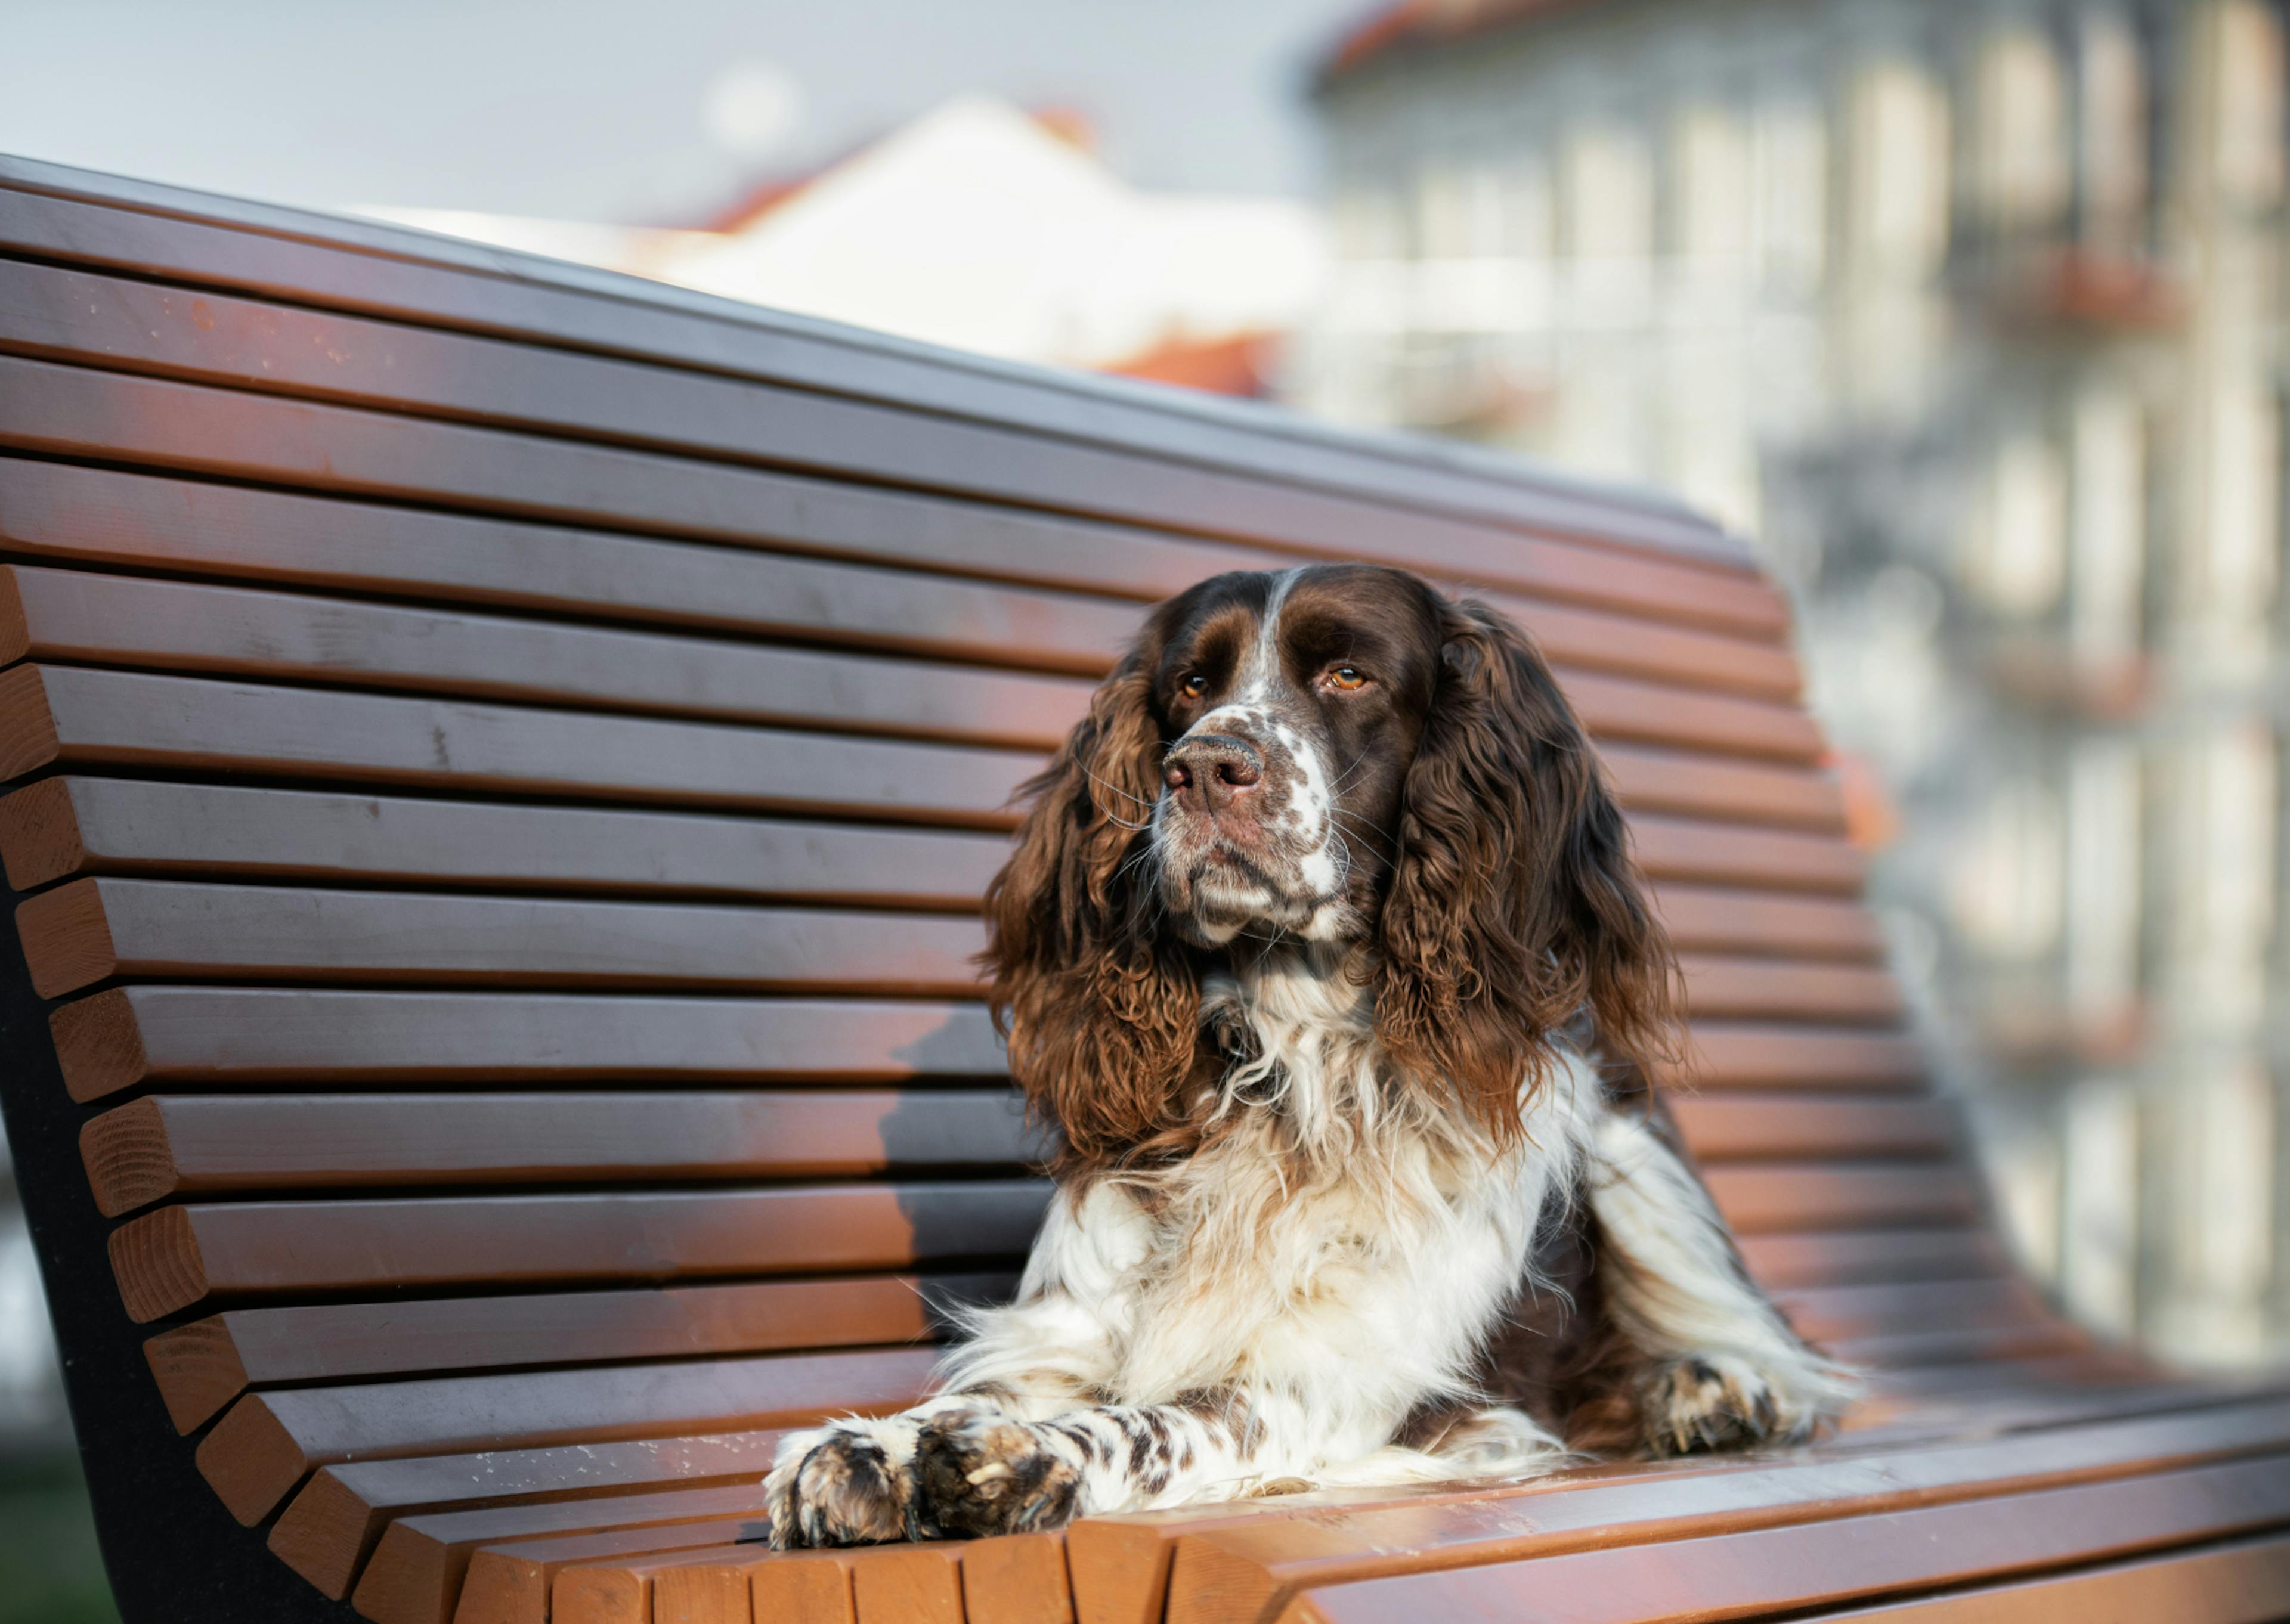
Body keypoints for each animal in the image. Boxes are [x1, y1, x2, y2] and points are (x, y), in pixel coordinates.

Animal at [769, 563, 1859, 1539]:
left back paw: (1715, 1387)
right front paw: (870, 1443)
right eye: (1190, 685)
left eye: (1348, 675)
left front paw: (1030, 1456)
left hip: (1630, 1151)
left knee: (1756, 1335)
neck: (1293, 1062)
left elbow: (1161, 1422)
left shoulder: (1337, 1384)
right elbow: (983, 1394)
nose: (1204, 767)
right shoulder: (1063, 1333)